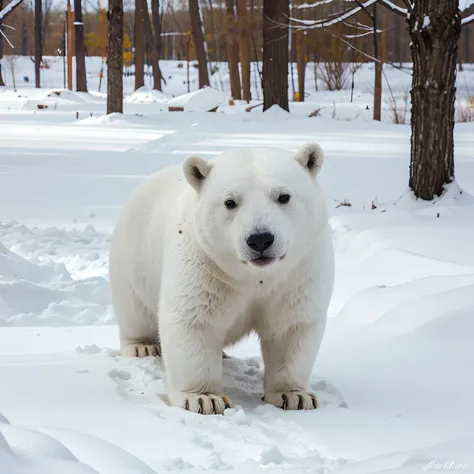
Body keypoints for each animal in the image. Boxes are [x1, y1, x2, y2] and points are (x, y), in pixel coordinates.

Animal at [109, 142, 336, 414]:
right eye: (230, 202)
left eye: (284, 196)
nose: (260, 239)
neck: (254, 275)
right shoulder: (204, 263)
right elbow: (194, 321)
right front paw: (203, 398)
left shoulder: (298, 271)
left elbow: (291, 325)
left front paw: (294, 396)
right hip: (133, 259)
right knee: (135, 310)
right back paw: (142, 346)